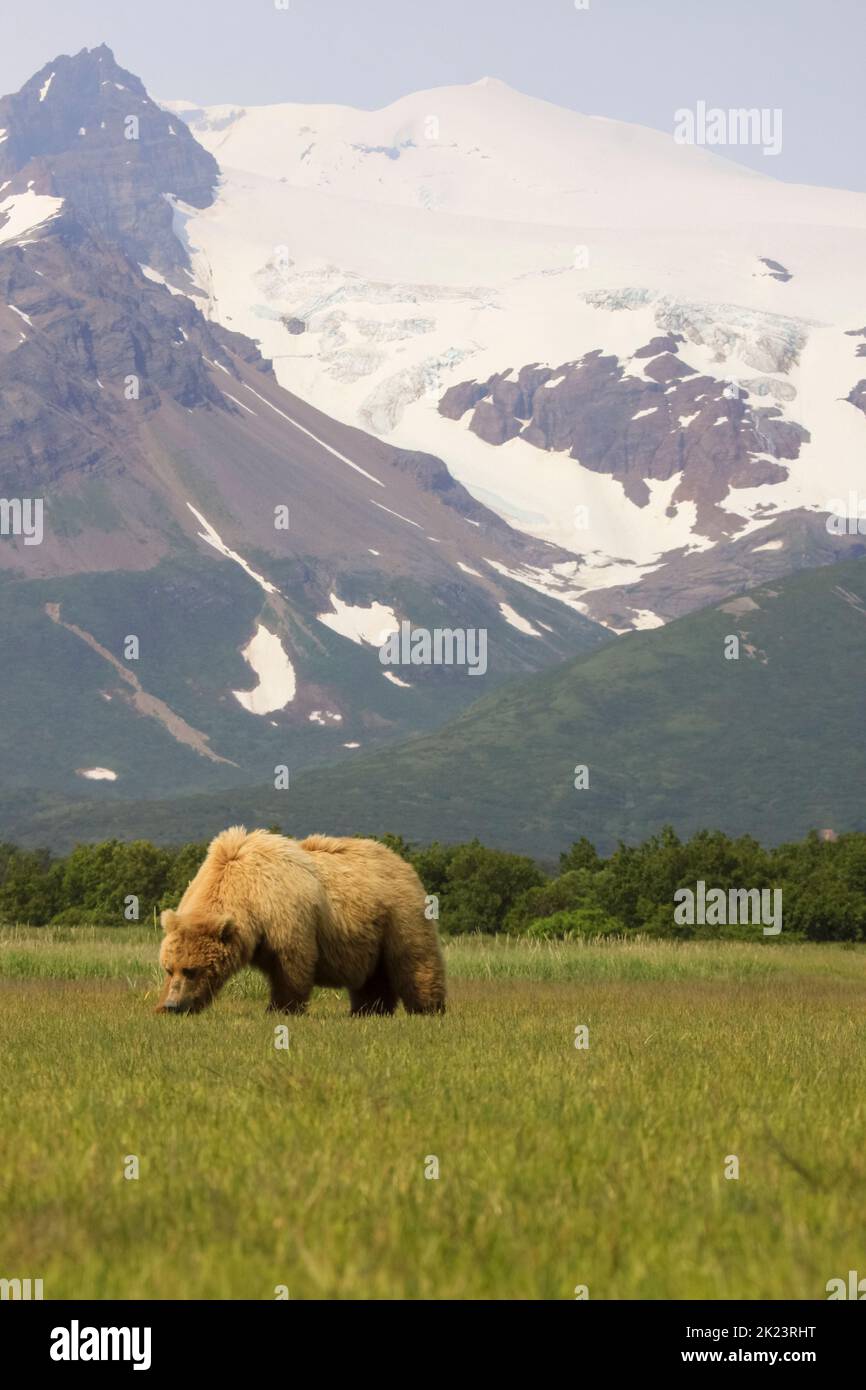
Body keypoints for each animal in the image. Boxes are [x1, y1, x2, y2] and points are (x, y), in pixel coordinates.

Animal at [154, 828, 447, 1017]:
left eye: (191, 970)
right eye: (170, 968)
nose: (173, 1006)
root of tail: (401, 861)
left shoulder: (284, 916)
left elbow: (291, 964)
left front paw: (279, 1009)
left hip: (399, 916)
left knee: (414, 960)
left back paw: (427, 1008)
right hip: (369, 933)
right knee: (372, 977)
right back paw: (368, 1010)